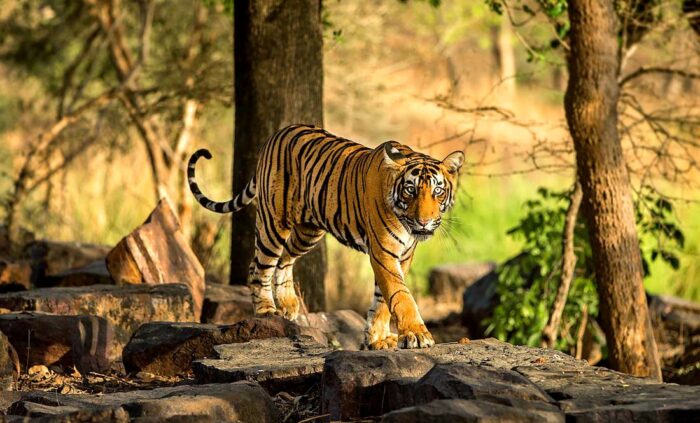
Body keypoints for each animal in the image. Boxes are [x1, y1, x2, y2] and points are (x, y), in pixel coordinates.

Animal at [187, 124, 464, 350]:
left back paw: (288, 304)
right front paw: (416, 335)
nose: (424, 222)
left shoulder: (403, 255)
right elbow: (400, 295)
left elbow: (382, 300)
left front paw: (377, 339)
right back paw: (266, 310)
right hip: (274, 223)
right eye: (410, 190)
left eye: (438, 191)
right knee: (259, 265)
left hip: (308, 232)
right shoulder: (383, 252)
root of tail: (276, 133)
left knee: (285, 260)